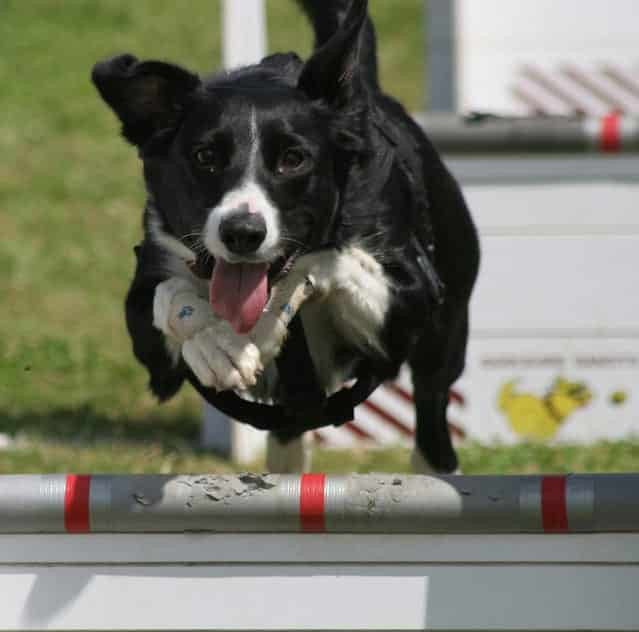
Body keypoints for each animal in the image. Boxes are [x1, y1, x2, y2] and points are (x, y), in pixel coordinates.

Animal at [91, 0, 480, 474]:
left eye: (293, 159)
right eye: (205, 156)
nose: (242, 233)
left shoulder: (411, 300)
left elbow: (329, 261)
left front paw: (263, 323)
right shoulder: (154, 347)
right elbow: (168, 295)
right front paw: (214, 343)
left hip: (444, 336)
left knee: (432, 424)